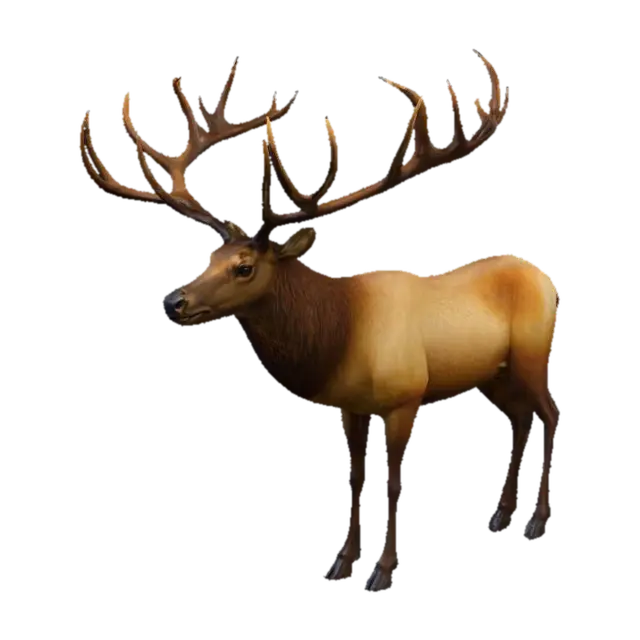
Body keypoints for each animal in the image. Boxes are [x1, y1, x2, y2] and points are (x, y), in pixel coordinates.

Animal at [79, 52, 559, 593]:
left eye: (244, 267)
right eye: (209, 258)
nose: (172, 303)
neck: (342, 332)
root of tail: (541, 273)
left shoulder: (405, 397)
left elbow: (394, 483)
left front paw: (382, 572)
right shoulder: (350, 405)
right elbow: (354, 480)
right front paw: (342, 564)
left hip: (534, 353)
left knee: (550, 414)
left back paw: (536, 522)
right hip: (494, 373)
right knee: (520, 418)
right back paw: (501, 515)